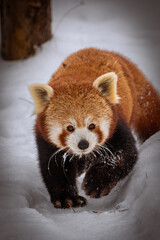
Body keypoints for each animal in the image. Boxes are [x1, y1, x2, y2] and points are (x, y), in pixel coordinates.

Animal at [28, 48, 160, 208]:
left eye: (92, 126)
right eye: (70, 128)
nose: (83, 144)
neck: (75, 82)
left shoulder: (117, 124)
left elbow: (122, 155)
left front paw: (97, 183)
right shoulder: (45, 138)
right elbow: (54, 168)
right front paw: (67, 198)